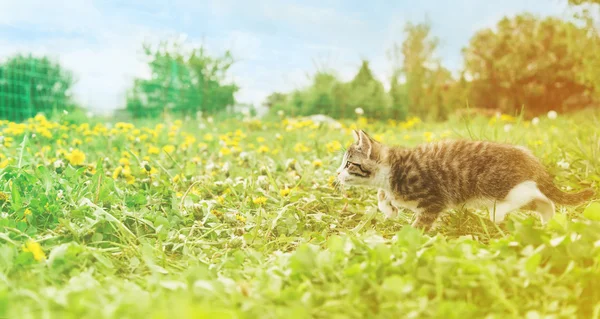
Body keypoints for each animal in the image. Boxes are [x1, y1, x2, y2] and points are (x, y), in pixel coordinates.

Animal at [338, 130, 596, 232]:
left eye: (349, 163)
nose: (337, 175)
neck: (392, 168)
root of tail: (530, 158)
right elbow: (383, 195)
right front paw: (389, 208)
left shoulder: (434, 200)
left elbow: (419, 224)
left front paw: (404, 240)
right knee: (545, 201)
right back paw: (548, 222)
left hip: (496, 184)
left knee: (524, 196)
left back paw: (499, 213)